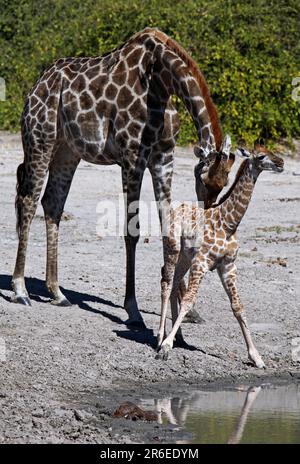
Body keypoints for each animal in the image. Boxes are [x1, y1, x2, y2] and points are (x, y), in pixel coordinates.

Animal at [11, 27, 232, 328]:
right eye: (204, 183)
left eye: (223, 186)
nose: (208, 211)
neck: (163, 81)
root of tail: (37, 85)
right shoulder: (132, 157)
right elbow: (132, 231)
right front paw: (133, 309)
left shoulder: (164, 158)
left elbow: (168, 230)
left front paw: (190, 311)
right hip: (40, 140)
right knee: (28, 201)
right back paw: (20, 289)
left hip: (67, 150)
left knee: (52, 204)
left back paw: (57, 293)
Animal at [157, 149, 284, 366]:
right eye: (261, 156)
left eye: (272, 151)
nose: (281, 162)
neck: (229, 224)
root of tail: (175, 209)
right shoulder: (201, 262)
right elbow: (188, 300)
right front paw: (165, 347)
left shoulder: (228, 266)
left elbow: (238, 307)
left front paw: (256, 357)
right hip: (172, 248)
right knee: (166, 283)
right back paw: (159, 337)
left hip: (185, 257)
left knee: (173, 285)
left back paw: (178, 337)